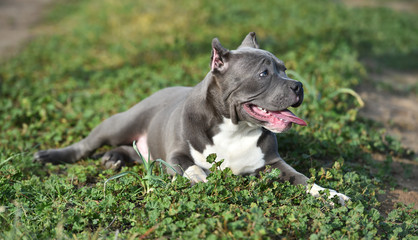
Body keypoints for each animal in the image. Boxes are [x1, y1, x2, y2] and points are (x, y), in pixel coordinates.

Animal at [35, 31, 350, 204]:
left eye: (284, 68)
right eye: (264, 73)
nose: (298, 86)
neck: (235, 128)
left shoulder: (274, 164)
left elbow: (303, 178)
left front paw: (331, 195)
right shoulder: (175, 156)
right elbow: (193, 168)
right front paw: (204, 181)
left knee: (137, 151)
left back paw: (114, 158)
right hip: (118, 124)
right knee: (85, 146)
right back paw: (51, 155)